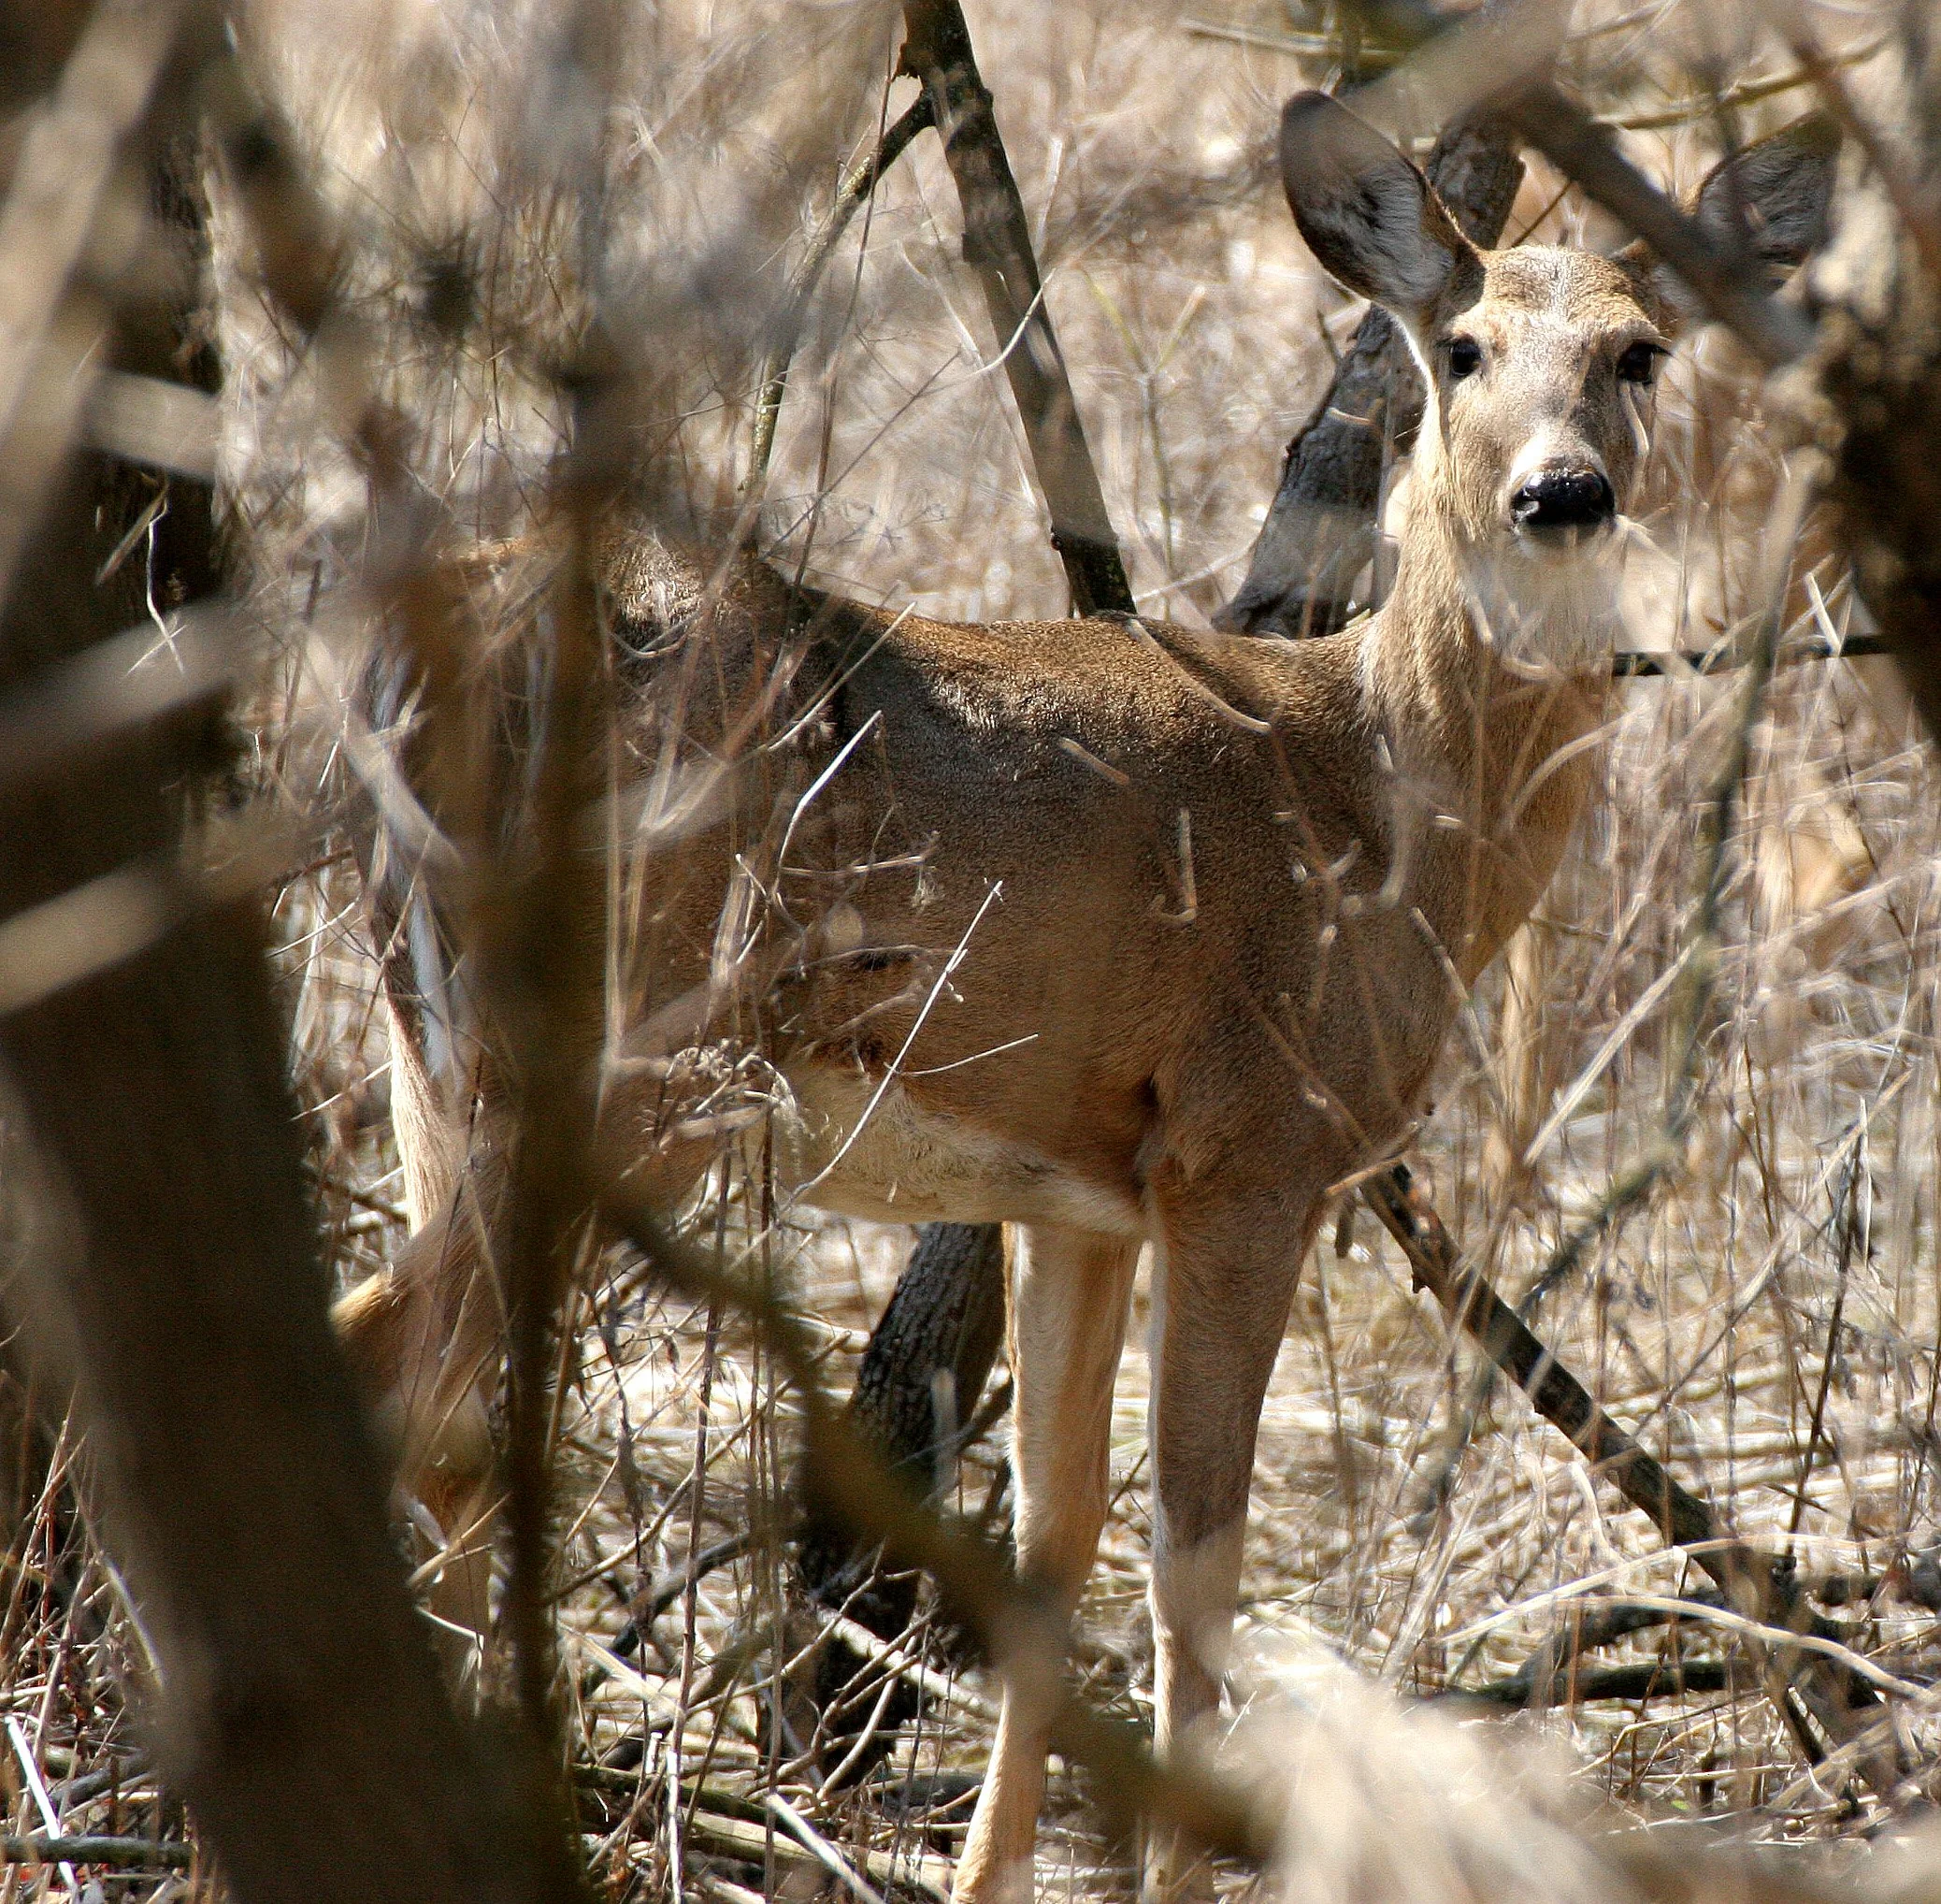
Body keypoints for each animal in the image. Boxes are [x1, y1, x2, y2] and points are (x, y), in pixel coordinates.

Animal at [336, 92, 1835, 1904]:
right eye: (1463, 345)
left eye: (1640, 351)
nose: (1564, 490)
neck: (1381, 800)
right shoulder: (1247, 1144)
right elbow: (1195, 1558)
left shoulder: (1079, 1187)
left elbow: (1052, 1546)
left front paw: (991, 1878)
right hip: (622, 1052)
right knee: (403, 1369)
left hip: (429, 1049)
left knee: (433, 1398)